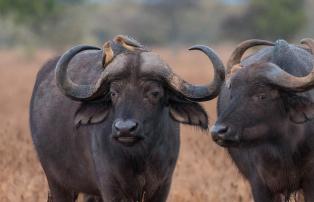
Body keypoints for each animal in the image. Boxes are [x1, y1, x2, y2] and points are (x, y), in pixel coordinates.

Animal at [30, 35, 226, 201]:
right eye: (113, 93)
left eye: (155, 93)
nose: (125, 129)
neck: (139, 156)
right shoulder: (110, 187)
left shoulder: (162, 186)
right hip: (58, 183)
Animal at [210, 38, 314, 201]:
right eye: (232, 94)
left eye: (262, 95)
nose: (217, 131)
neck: (284, 148)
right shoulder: (259, 185)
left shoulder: (310, 180)